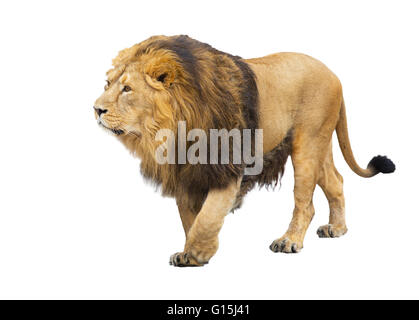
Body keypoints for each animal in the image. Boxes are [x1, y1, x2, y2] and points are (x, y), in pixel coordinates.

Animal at [93, 35, 396, 266]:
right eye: (107, 85)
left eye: (127, 89)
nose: (96, 109)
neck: (169, 129)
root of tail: (334, 74)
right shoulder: (185, 174)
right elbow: (189, 218)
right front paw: (188, 252)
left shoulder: (225, 165)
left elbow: (207, 216)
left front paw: (198, 253)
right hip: (319, 143)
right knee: (336, 181)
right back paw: (337, 228)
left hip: (308, 144)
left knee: (306, 203)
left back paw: (289, 241)